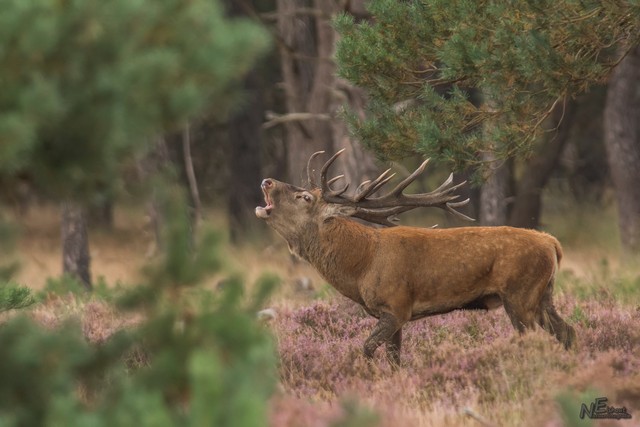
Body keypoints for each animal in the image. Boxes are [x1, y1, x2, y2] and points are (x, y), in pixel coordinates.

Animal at [256, 150, 580, 364]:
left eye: (305, 197)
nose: (267, 181)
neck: (361, 267)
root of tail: (552, 243)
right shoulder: (390, 315)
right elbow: (394, 359)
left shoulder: (396, 307)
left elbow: (367, 349)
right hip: (543, 295)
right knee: (567, 331)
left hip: (519, 294)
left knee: (538, 338)